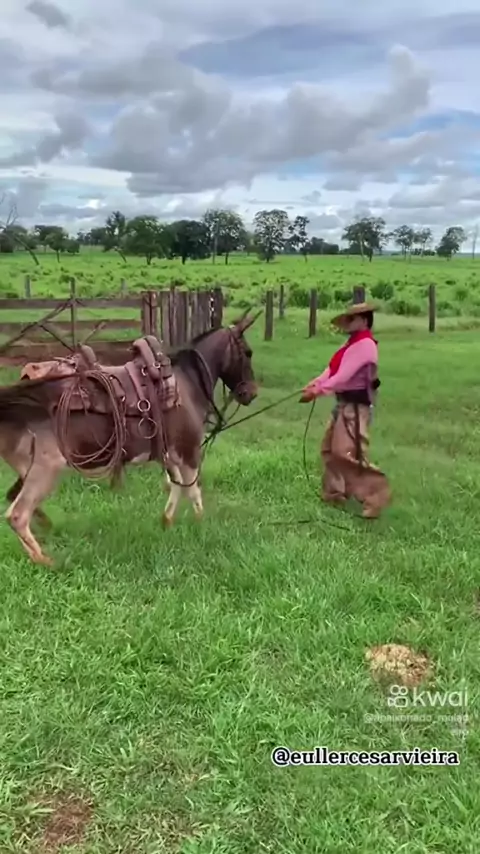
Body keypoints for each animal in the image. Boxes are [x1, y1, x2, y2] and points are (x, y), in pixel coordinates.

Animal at [0, 311, 259, 566]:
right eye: (248, 352)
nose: (251, 393)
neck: (186, 382)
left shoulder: (170, 454)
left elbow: (176, 486)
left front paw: (166, 522)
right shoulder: (189, 451)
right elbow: (193, 490)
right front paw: (200, 523)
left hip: (27, 466)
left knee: (15, 499)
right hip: (46, 468)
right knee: (17, 515)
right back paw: (45, 560)